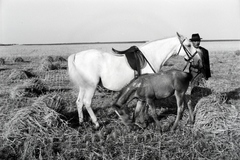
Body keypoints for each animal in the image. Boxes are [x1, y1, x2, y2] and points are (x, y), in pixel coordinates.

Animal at [67, 32, 197, 129]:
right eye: (188, 45)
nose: (195, 57)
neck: (151, 56)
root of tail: (76, 55)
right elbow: (145, 107)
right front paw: (145, 121)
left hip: (83, 86)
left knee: (79, 102)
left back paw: (81, 122)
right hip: (91, 86)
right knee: (87, 102)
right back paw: (96, 123)